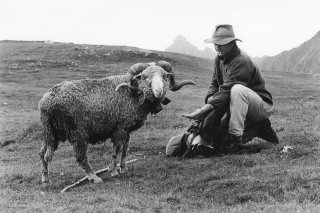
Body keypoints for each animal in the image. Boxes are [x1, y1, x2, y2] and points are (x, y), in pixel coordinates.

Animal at [39, 60, 196, 184]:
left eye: (164, 76)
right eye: (144, 77)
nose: (159, 90)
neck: (133, 93)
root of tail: (46, 103)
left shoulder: (127, 129)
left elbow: (125, 148)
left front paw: (124, 167)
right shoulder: (119, 128)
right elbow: (116, 148)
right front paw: (113, 170)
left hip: (50, 132)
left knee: (43, 154)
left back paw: (45, 179)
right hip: (77, 132)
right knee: (79, 156)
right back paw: (93, 177)